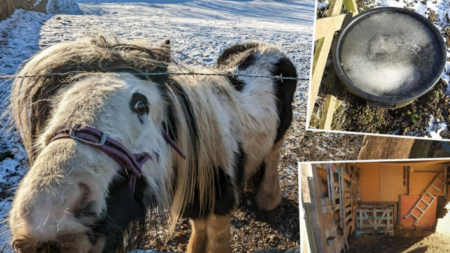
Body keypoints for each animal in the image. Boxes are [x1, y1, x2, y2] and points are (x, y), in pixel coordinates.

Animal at [7, 35, 298, 253]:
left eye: (140, 104)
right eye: (55, 104)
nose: (48, 217)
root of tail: (267, 47)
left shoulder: (220, 209)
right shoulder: (197, 205)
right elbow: (198, 231)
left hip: (281, 131)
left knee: (273, 154)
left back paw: (267, 198)